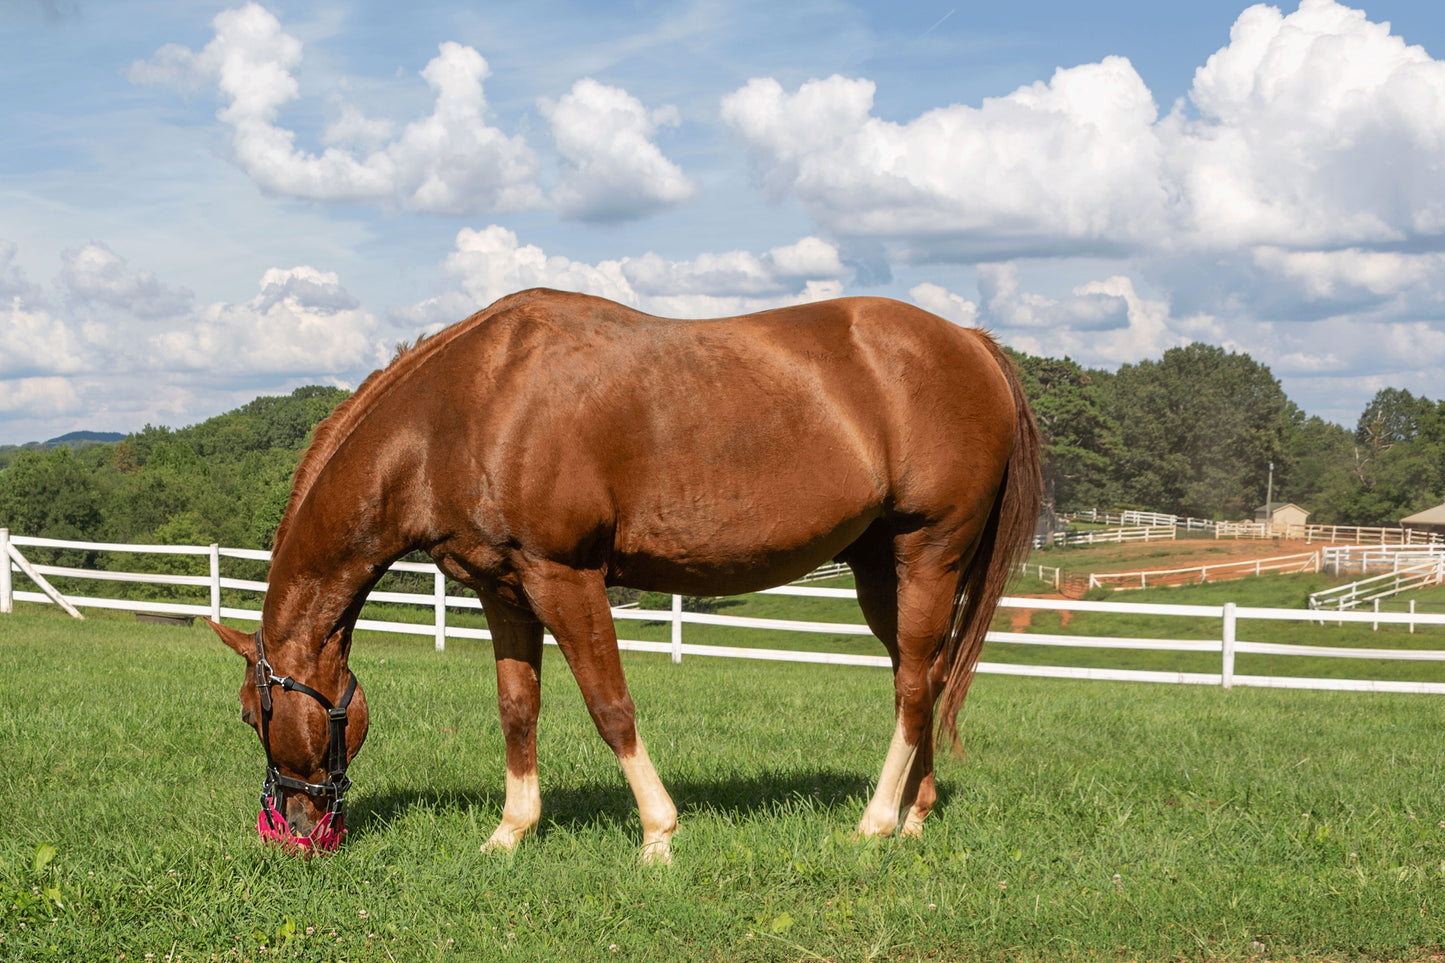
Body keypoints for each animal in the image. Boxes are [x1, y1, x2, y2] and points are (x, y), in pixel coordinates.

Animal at [206, 289, 1040, 856]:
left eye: (252, 714)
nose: (293, 829)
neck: (467, 406)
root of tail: (970, 343)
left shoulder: (563, 576)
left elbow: (610, 706)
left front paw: (657, 835)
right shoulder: (502, 590)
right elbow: (517, 708)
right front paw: (508, 834)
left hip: (928, 552)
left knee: (913, 686)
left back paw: (872, 823)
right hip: (878, 568)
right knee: (923, 675)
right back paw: (913, 815)